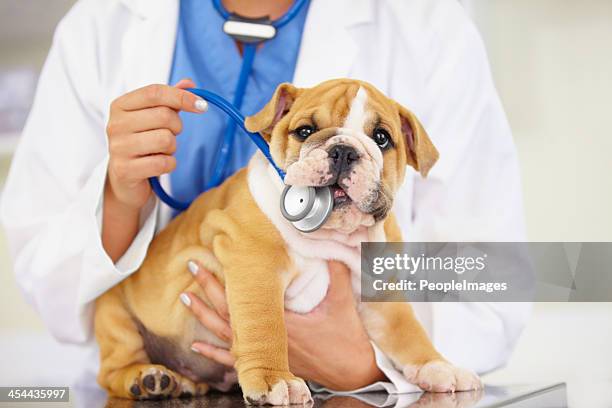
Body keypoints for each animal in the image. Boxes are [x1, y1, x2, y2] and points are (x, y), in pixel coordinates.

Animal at [94, 78, 482, 404]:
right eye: (305, 131)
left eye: (382, 138)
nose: (343, 151)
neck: (330, 236)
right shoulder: (256, 266)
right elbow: (265, 326)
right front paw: (273, 379)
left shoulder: (381, 288)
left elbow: (407, 330)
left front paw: (437, 366)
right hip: (113, 315)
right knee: (111, 370)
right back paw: (147, 378)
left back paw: (183, 381)